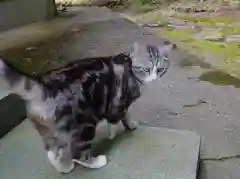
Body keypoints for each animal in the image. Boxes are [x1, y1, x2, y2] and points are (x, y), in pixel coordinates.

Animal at [0, 41, 172, 173]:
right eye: (146, 69)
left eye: (161, 69)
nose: (154, 78)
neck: (129, 66)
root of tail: (44, 85)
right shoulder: (118, 102)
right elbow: (115, 119)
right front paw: (113, 134)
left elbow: (126, 114)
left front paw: (130, 124)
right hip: (85, 124)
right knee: (78, 153)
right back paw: (97, 162)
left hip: (49, 129)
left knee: (52, 153)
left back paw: (65, 168)